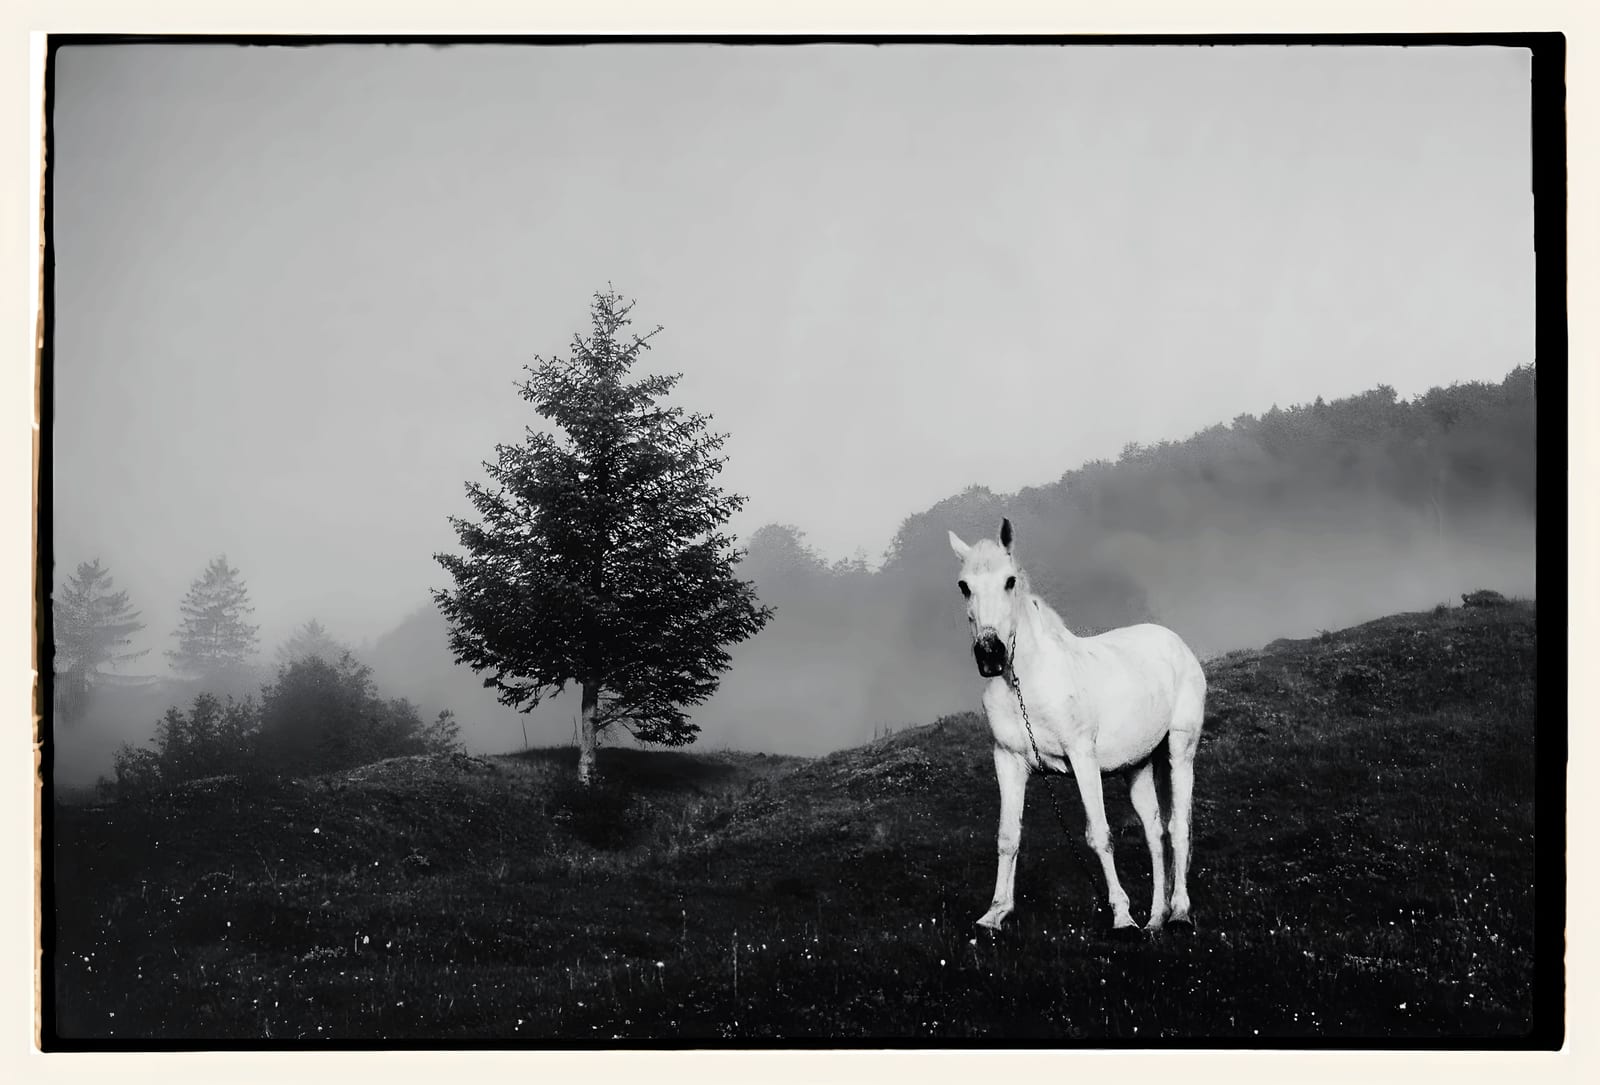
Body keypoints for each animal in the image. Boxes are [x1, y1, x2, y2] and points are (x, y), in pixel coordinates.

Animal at [948, 517, 1206, 935]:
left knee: (1179, 827)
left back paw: (1179, 912)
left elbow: (1099, 834)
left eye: (1009, 581)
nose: (990, 654)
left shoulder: (1083, 758)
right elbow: (1008, 836)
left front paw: (1121, 917)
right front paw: (994, 914)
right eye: (964, 586)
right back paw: (1155, 919)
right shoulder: (1007, 761)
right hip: (1137, 766)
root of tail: (1176, 643)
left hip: (1180, 752)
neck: (1026, 684)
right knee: (1155, 832)